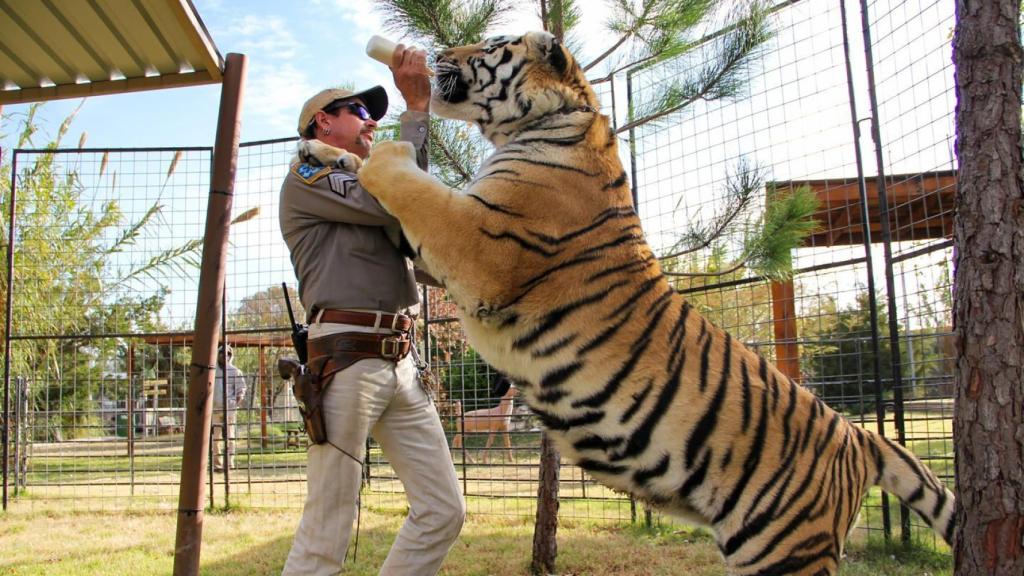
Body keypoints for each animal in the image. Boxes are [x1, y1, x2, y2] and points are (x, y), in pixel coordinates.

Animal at [355, 31, 955, 575]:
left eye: (488, 45)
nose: (436, 55)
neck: (550, 120)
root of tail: (858, 436)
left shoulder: (482, 244)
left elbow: (414, 188)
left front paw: (378, 152)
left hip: (785, 549)